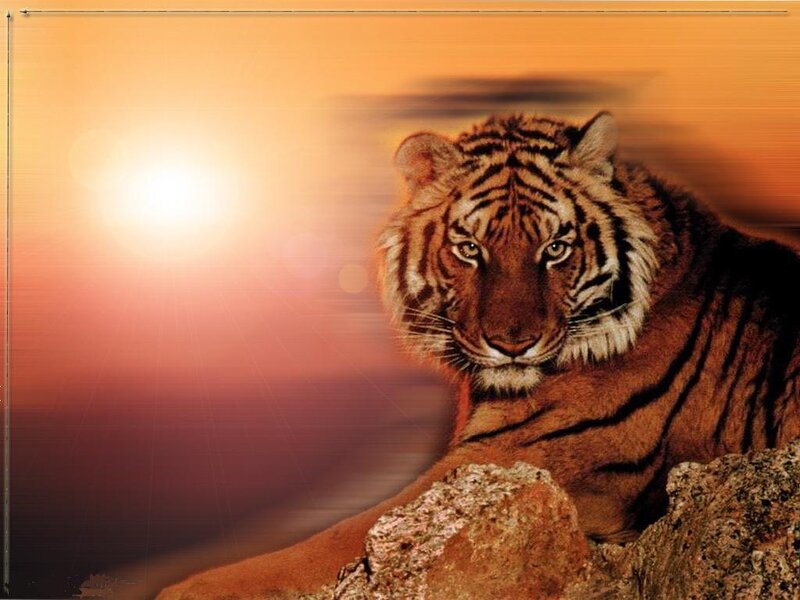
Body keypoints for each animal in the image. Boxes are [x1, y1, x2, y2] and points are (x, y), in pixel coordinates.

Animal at [159, 112, 800, 599]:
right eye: (470, 248)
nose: (512, 343)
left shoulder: (512, 462)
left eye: (556, 247)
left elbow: (320, 545)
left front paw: (181, 590)